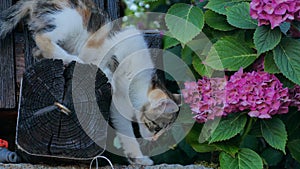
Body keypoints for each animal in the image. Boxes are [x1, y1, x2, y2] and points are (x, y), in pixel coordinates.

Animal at [0, 0, 180, 164]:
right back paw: (74, 59)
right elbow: (107, 66)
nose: (153, 140)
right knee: (42, 38)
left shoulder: (117, 106)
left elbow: (125, 131)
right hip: (71, 19)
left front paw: (138, 158)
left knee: (38, 49)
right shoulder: (112, 50)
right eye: (155, 126)